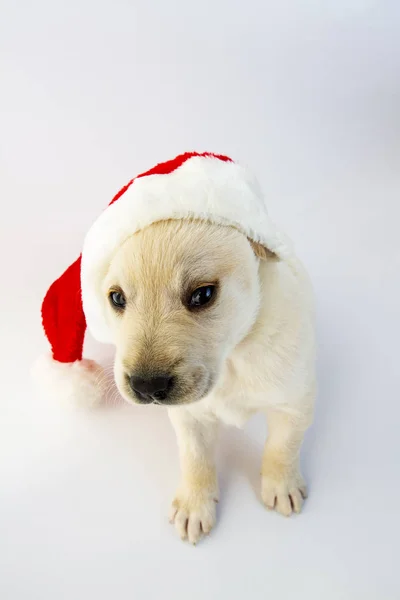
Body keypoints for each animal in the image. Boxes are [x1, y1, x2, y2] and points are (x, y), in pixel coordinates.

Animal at [102, 217, 316, 544]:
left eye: (202, 295)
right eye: (117, 298)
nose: (146, 386)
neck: (231, 358)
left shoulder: (294, 401)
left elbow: (283, 446)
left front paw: (282, 484)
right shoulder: (189, 416)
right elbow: (195, 458)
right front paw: (194, 504)